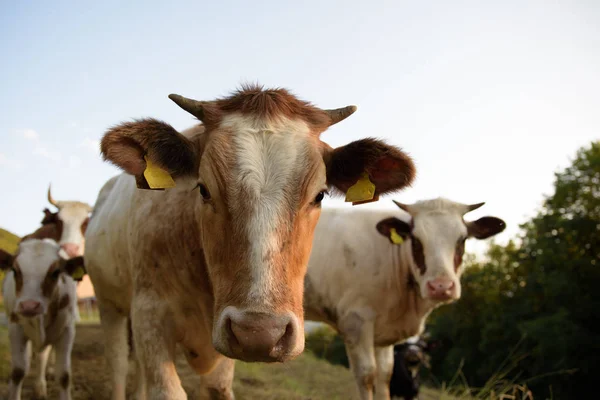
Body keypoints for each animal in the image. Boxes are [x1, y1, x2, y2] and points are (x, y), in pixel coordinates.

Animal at [84, 83, 418, 398]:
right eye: (203, 189)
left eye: (320, 195)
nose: (259, 333)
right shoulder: (150, 313)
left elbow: (217, 388)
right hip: (109, 302)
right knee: (118, 362)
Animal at [302, 198, 504, 398]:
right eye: (415, 240)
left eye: (462, 239)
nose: (441, 286)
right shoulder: (355, 320)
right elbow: (367, 375)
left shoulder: (384, 330)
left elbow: (385, 375)